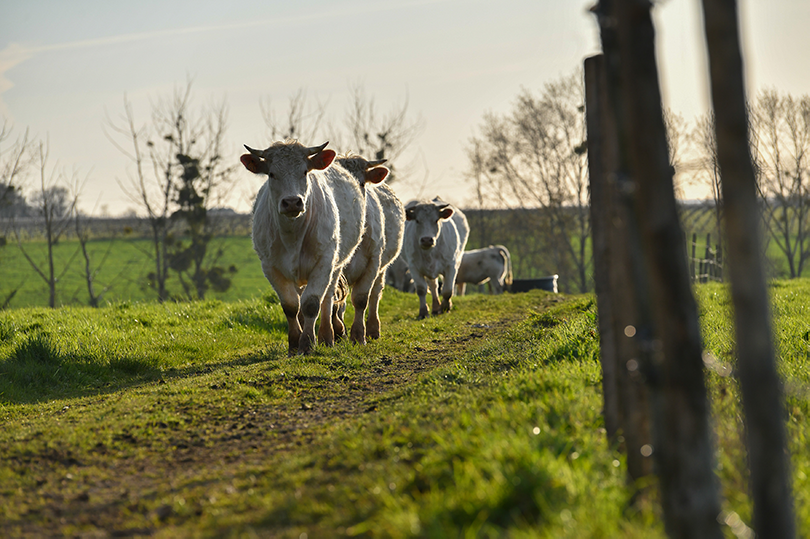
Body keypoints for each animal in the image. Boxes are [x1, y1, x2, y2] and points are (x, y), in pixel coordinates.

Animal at [240, 141, 362, 356]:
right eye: (271, 174)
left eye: (304, 172)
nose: (291, 202)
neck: (293, 236)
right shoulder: (270, 267)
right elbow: (291, 306)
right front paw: (294, 343)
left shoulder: (324, 262)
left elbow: (312, 304)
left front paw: (307, 344)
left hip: (335, 265)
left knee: (327, 299)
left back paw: (327, 336)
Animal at [332, 154, 404, 344]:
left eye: (362, 183)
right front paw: (337, 331)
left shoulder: (372, 263)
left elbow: (361, 299)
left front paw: (358, 335)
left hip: (382, 268)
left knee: (375, 294)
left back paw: (373, 329)